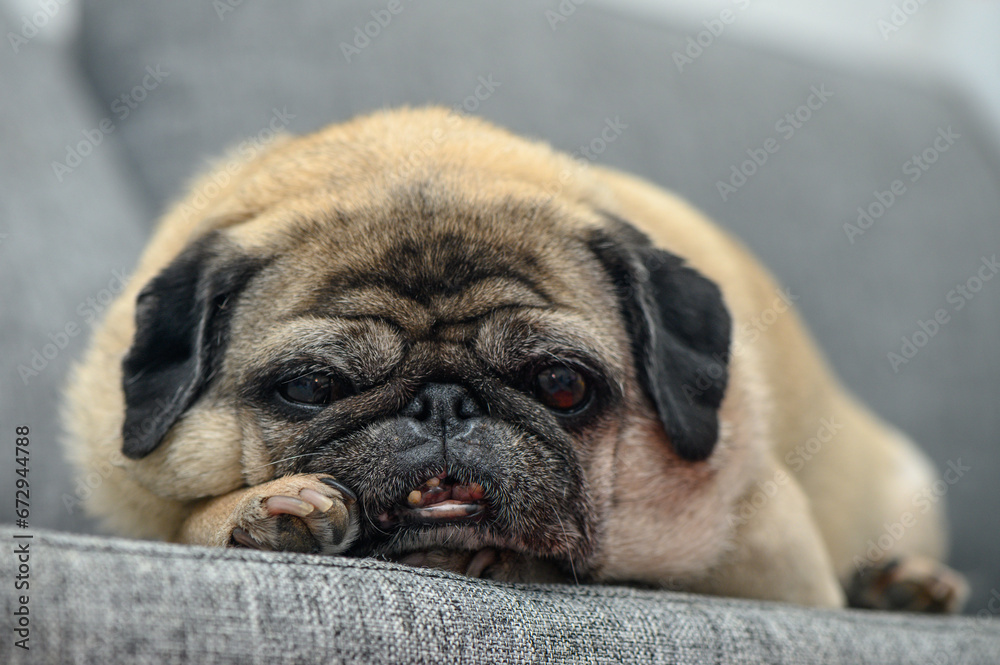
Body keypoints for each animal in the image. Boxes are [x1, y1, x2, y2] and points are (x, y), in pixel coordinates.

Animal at [62, 106, 968, 608]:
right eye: (311, 386)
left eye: (562, 385)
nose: (443, 403)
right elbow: (183, 519)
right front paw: (260, 511)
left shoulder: (776, 572)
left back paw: (900, 587)